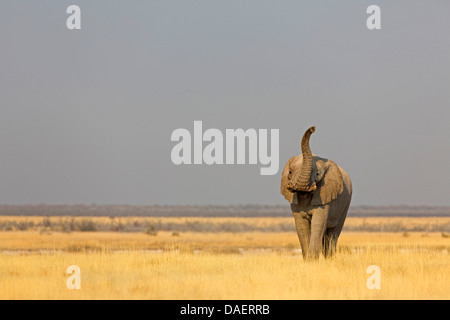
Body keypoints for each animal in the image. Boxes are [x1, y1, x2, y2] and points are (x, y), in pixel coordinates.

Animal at [280, 126, 354, 258]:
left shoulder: (324, 198)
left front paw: (312, 260)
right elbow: (301, 226)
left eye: (318, 174)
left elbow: (317, 224)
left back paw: (330, 258)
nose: (313, 128)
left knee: (333, 233)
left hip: (345, 205)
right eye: (290, 172)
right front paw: (307, 260)